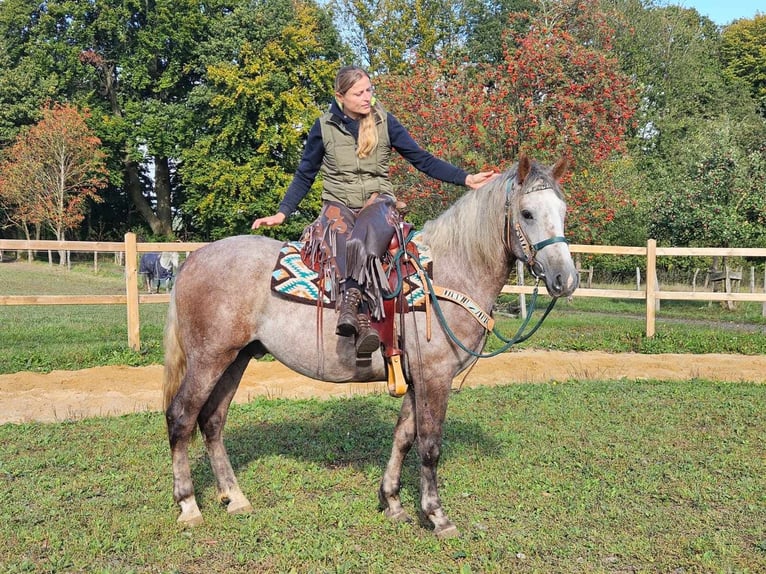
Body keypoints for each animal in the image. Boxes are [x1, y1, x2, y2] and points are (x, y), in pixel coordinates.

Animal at [164, 154, 584, 540]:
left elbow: (403, 438)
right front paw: (437, 516)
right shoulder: (435, 377)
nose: (565, 279)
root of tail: (194, 259)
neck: (447, 274)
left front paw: (392, 502)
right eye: (527, 213)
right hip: (208, 358)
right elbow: (429, 445)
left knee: (212, 421)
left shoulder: (416, 379)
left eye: (563, 211)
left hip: (236, 358)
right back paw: (189, 505)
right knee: (181, 417)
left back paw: (235, 498)